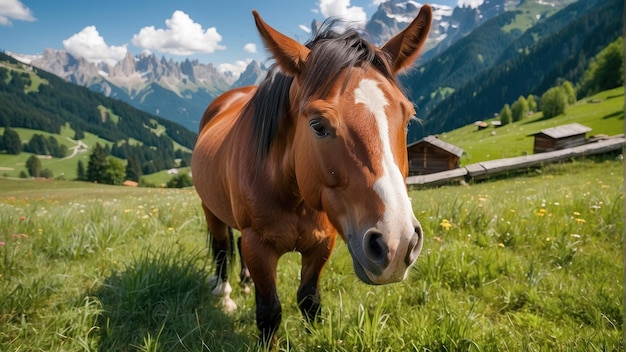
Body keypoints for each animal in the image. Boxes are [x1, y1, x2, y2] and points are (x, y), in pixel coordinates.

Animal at [190, 5, 432, 346]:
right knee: (223, 249)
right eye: (318, 125)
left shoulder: (322, 244)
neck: (292, 194)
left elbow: (309, 300)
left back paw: (245, 283)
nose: (397, 243)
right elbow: (269, 312)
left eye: (408, 119)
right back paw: (224, 294)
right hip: (210, 210)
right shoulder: (258, 246)